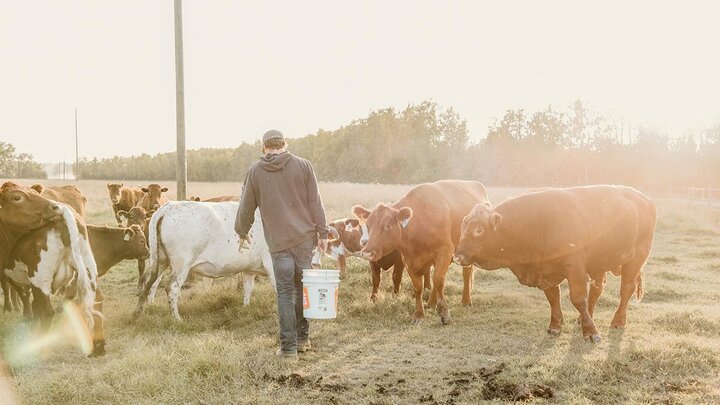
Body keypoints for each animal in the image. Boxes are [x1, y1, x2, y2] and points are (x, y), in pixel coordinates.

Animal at [134, 199, 274, 318]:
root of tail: (168, 207)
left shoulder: (249, 268)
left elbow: (248, 288)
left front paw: (245, 308)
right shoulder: (271, 263)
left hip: (159, 260)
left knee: (147, 281)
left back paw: (138, 313)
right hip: (181, 264)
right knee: (171, 288)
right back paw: (177, 319)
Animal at [352, 180, 490, 326]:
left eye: (387, 225)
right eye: (367, 225)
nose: (367, 252)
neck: (419, 224)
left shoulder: (444, 251)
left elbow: (438, 280)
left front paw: (444, 312)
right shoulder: (408, 260)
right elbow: (419, 287)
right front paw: (419, 315)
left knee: (465, 273)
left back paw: (466, 300)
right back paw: (431, 303)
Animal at [458, 185, 656, 340]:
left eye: (479, 230)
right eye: (463, 226)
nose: (458, 256)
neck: (536, 223)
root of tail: (646, 200)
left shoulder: (574, 267)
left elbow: (578, 298)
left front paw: (591, 332)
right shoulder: (547, 272)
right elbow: (553, 298)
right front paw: (556, 325)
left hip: (636, 259)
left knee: (626, 290)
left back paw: (618, 321)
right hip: (599, 262)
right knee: (597, 290)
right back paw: (583, 318)